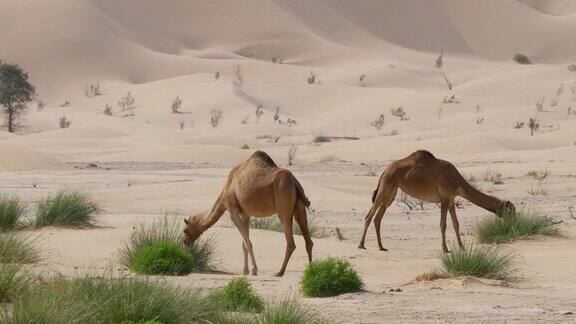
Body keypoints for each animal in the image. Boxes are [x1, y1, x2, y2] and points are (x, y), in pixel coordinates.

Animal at [183, 151, 312, 278]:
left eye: (185, 230)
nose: (185, 243)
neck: (227, 186)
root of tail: (295, 183)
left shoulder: (233, 210)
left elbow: (248, 243)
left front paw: (254, 270)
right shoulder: (245, 213)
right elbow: (244, 244)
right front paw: (245, 271)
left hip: (283, 203)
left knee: (290, 242)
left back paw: (279, 272)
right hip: (300, 206)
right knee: (308, 239)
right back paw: (311, 269)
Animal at [358, 150, 516, 253]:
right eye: (511, 211)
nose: (514, 221)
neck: (456, 180)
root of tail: (385, 170)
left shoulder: (451, 200)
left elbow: (456, 224)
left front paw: (462, 247)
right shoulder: (444, 199)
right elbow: (443, 225)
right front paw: (445, 249)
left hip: (392, 190)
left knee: (378, 217)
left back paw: (381, 247)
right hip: (386, 185)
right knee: (369, 215)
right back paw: (361, 245)